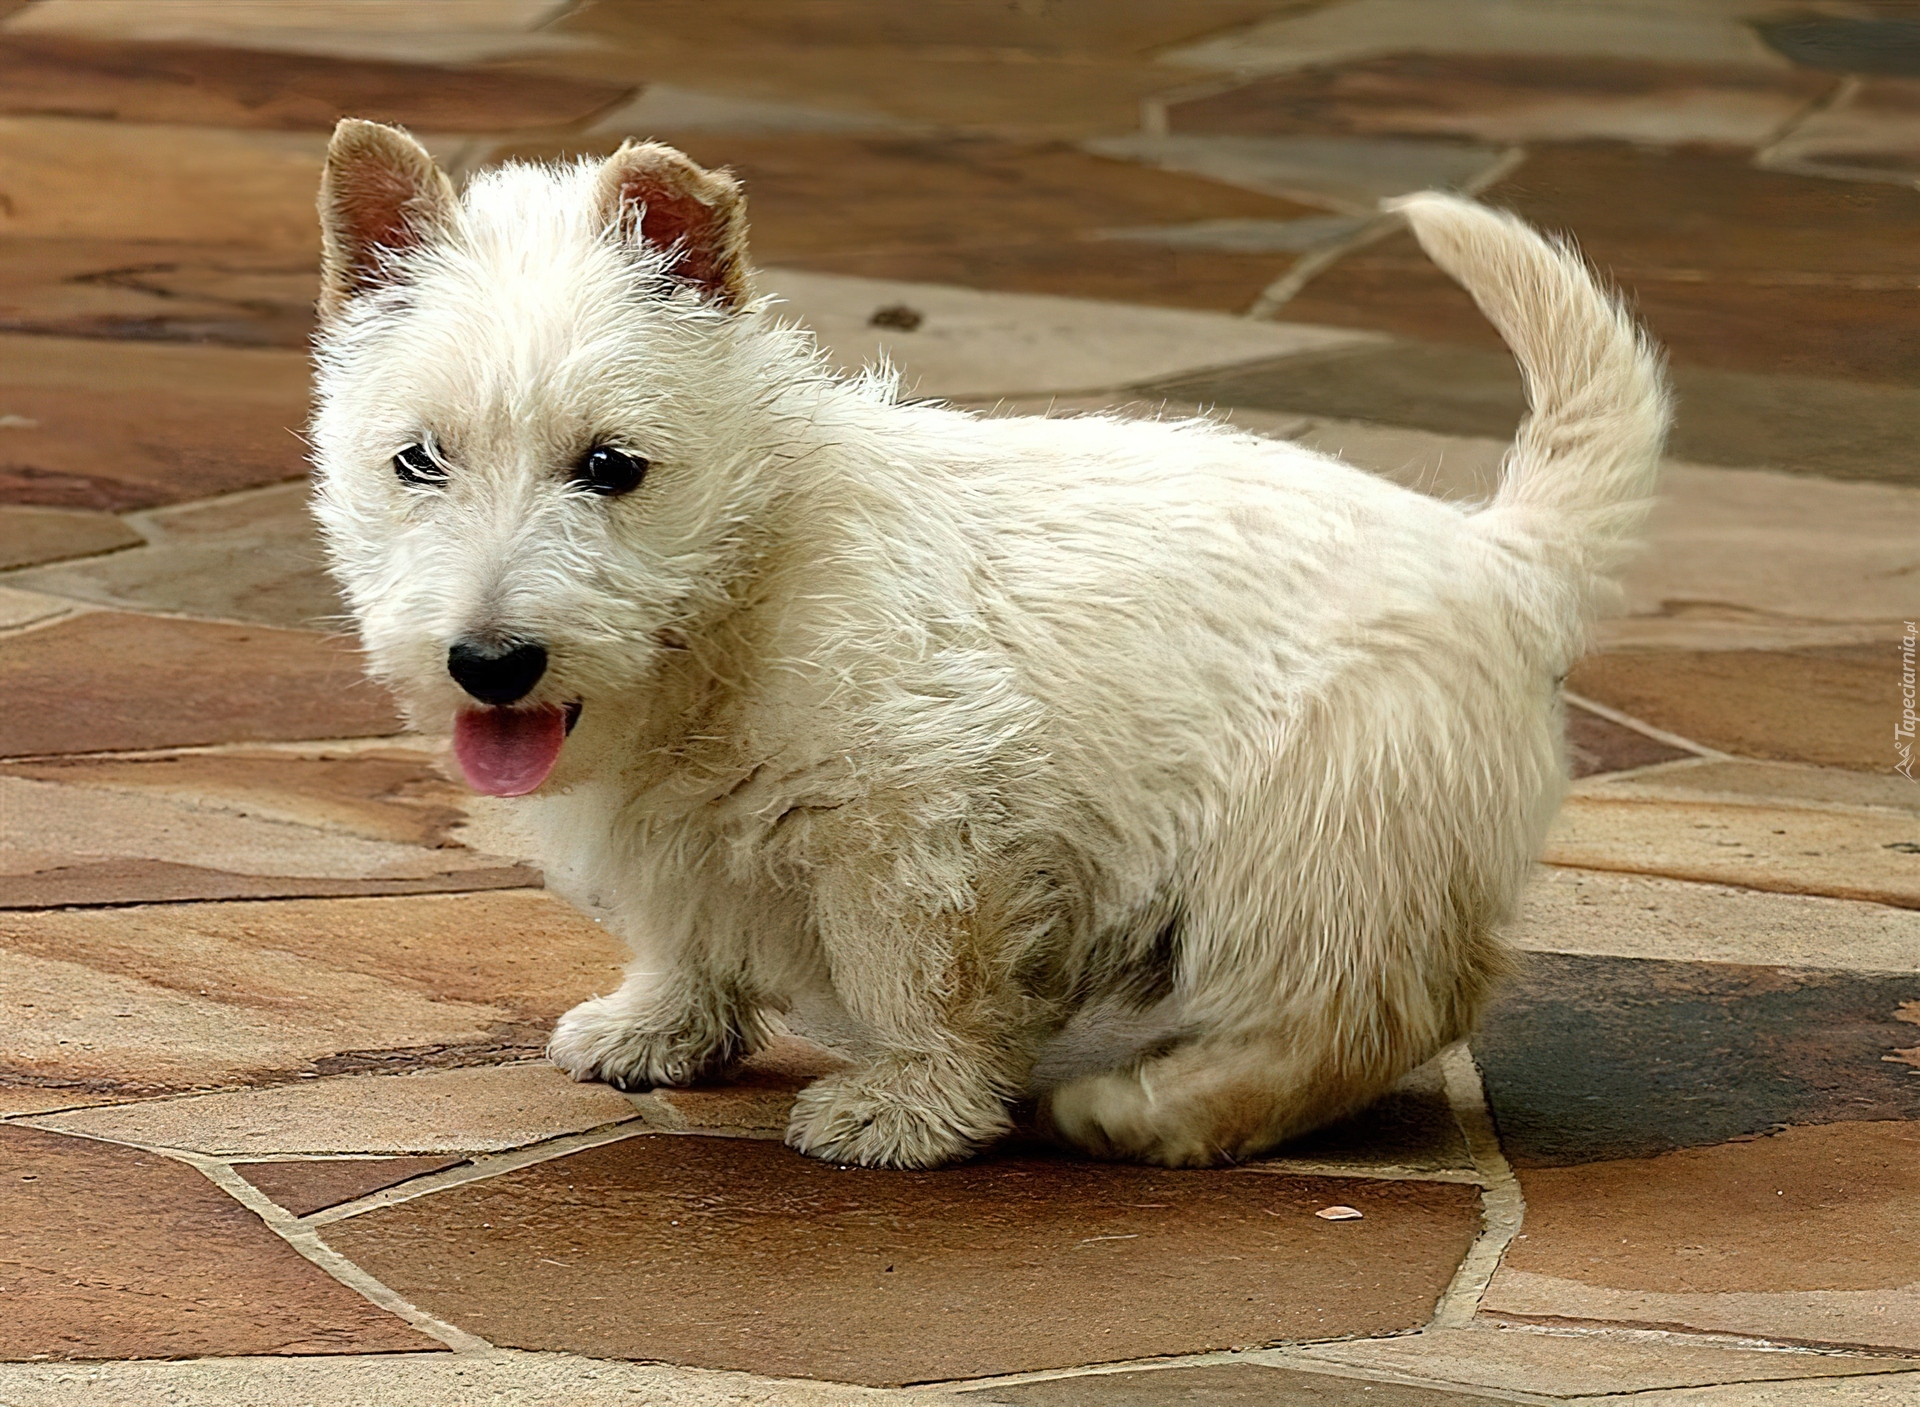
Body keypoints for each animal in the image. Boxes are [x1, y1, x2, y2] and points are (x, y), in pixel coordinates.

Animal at [307, 120, 1658, 1167]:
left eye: (610, 466)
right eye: (417, 459)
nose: (489, 663)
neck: (750, 586)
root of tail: (1494, 551)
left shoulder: (923, 827)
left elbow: (921, 981)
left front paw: (907, 1107)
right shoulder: (679, 838)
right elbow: (684, 931)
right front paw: (657, 1028)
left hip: (1313, 837)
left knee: (1352, 1014)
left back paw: (1154, 1111)